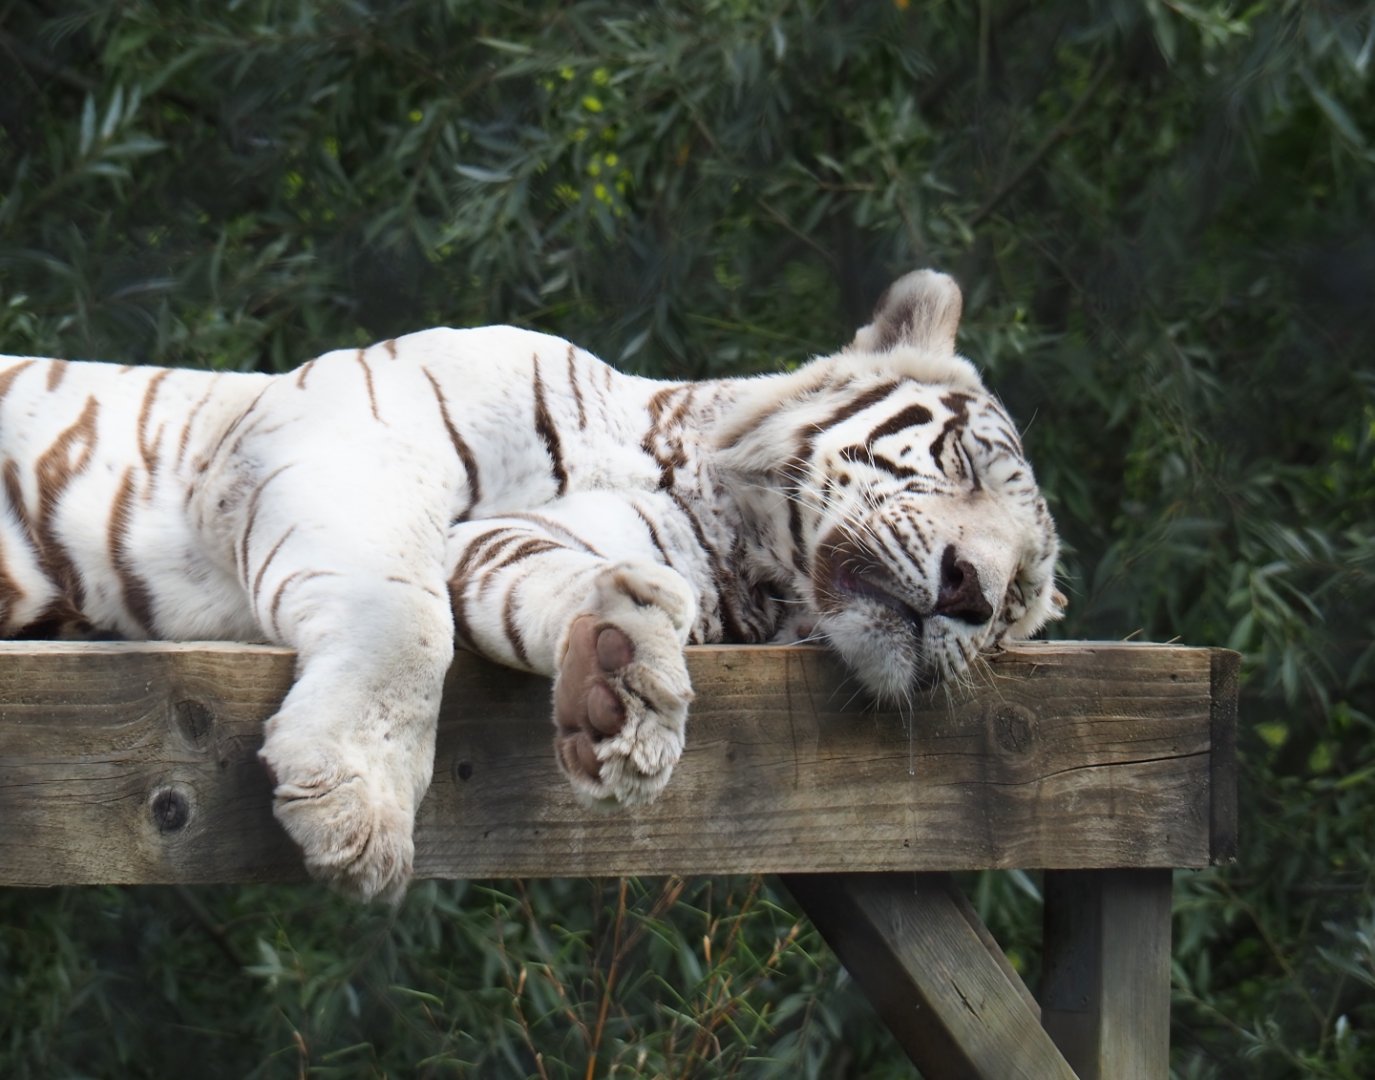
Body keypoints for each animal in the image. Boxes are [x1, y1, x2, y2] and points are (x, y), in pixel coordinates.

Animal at [0, 269, 1060, 901]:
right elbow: (406, 625)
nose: (968, 591)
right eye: (964, 465)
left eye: (1016, 599)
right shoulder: (344, 439)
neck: (735, 530)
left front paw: (620, 687)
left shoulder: (514, 538)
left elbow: (546, 582)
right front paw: (356, 804)